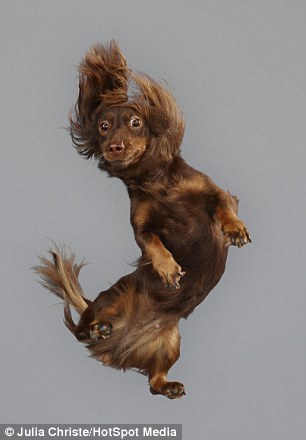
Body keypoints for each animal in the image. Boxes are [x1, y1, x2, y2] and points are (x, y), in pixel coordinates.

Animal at [35, 42, 251, 398]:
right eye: (103, 126)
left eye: (136, 122)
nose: (114, 147)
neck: (154, 181)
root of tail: (121, 347)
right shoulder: (141, 225)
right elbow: (152, 242)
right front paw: (167, 268)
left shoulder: (213, 191)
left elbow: (224, 207)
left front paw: (234, 230)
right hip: (110, 300)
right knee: (79, 329)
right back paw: (97, 329)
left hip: (172, 342)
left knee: (153, 382)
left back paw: (168, 384)